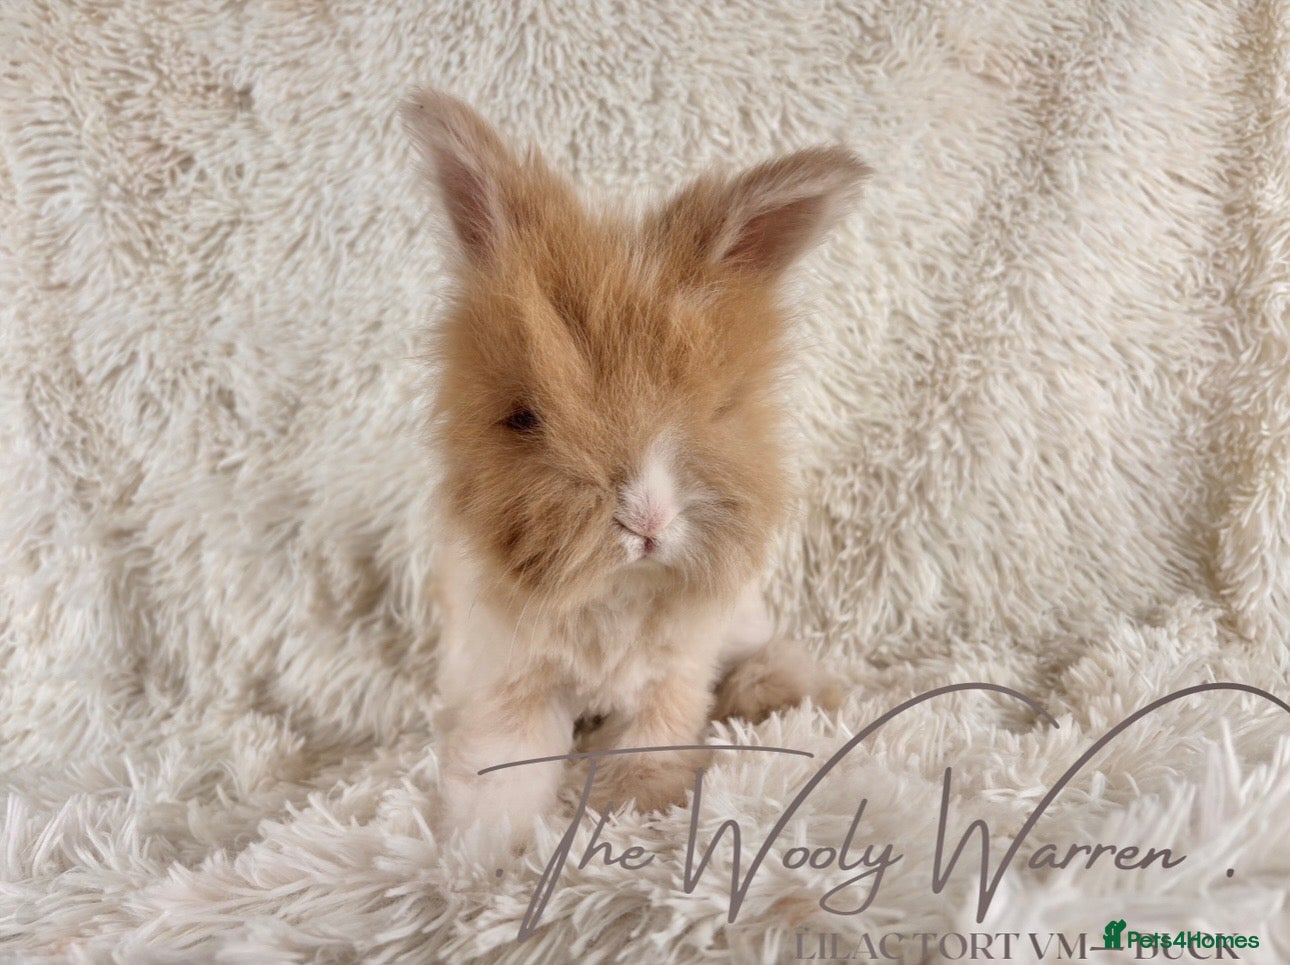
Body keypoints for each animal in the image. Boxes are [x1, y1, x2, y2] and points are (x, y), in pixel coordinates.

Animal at [402, 90, 868, 851]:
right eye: (523, 417)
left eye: (718, 409)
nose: (645, 522)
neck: (618, 589)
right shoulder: (508, 675)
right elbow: (503, 759)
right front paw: (481, 853)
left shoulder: (672, 674)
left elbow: (655, 736)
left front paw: (639, 813)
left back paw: (795, 690)